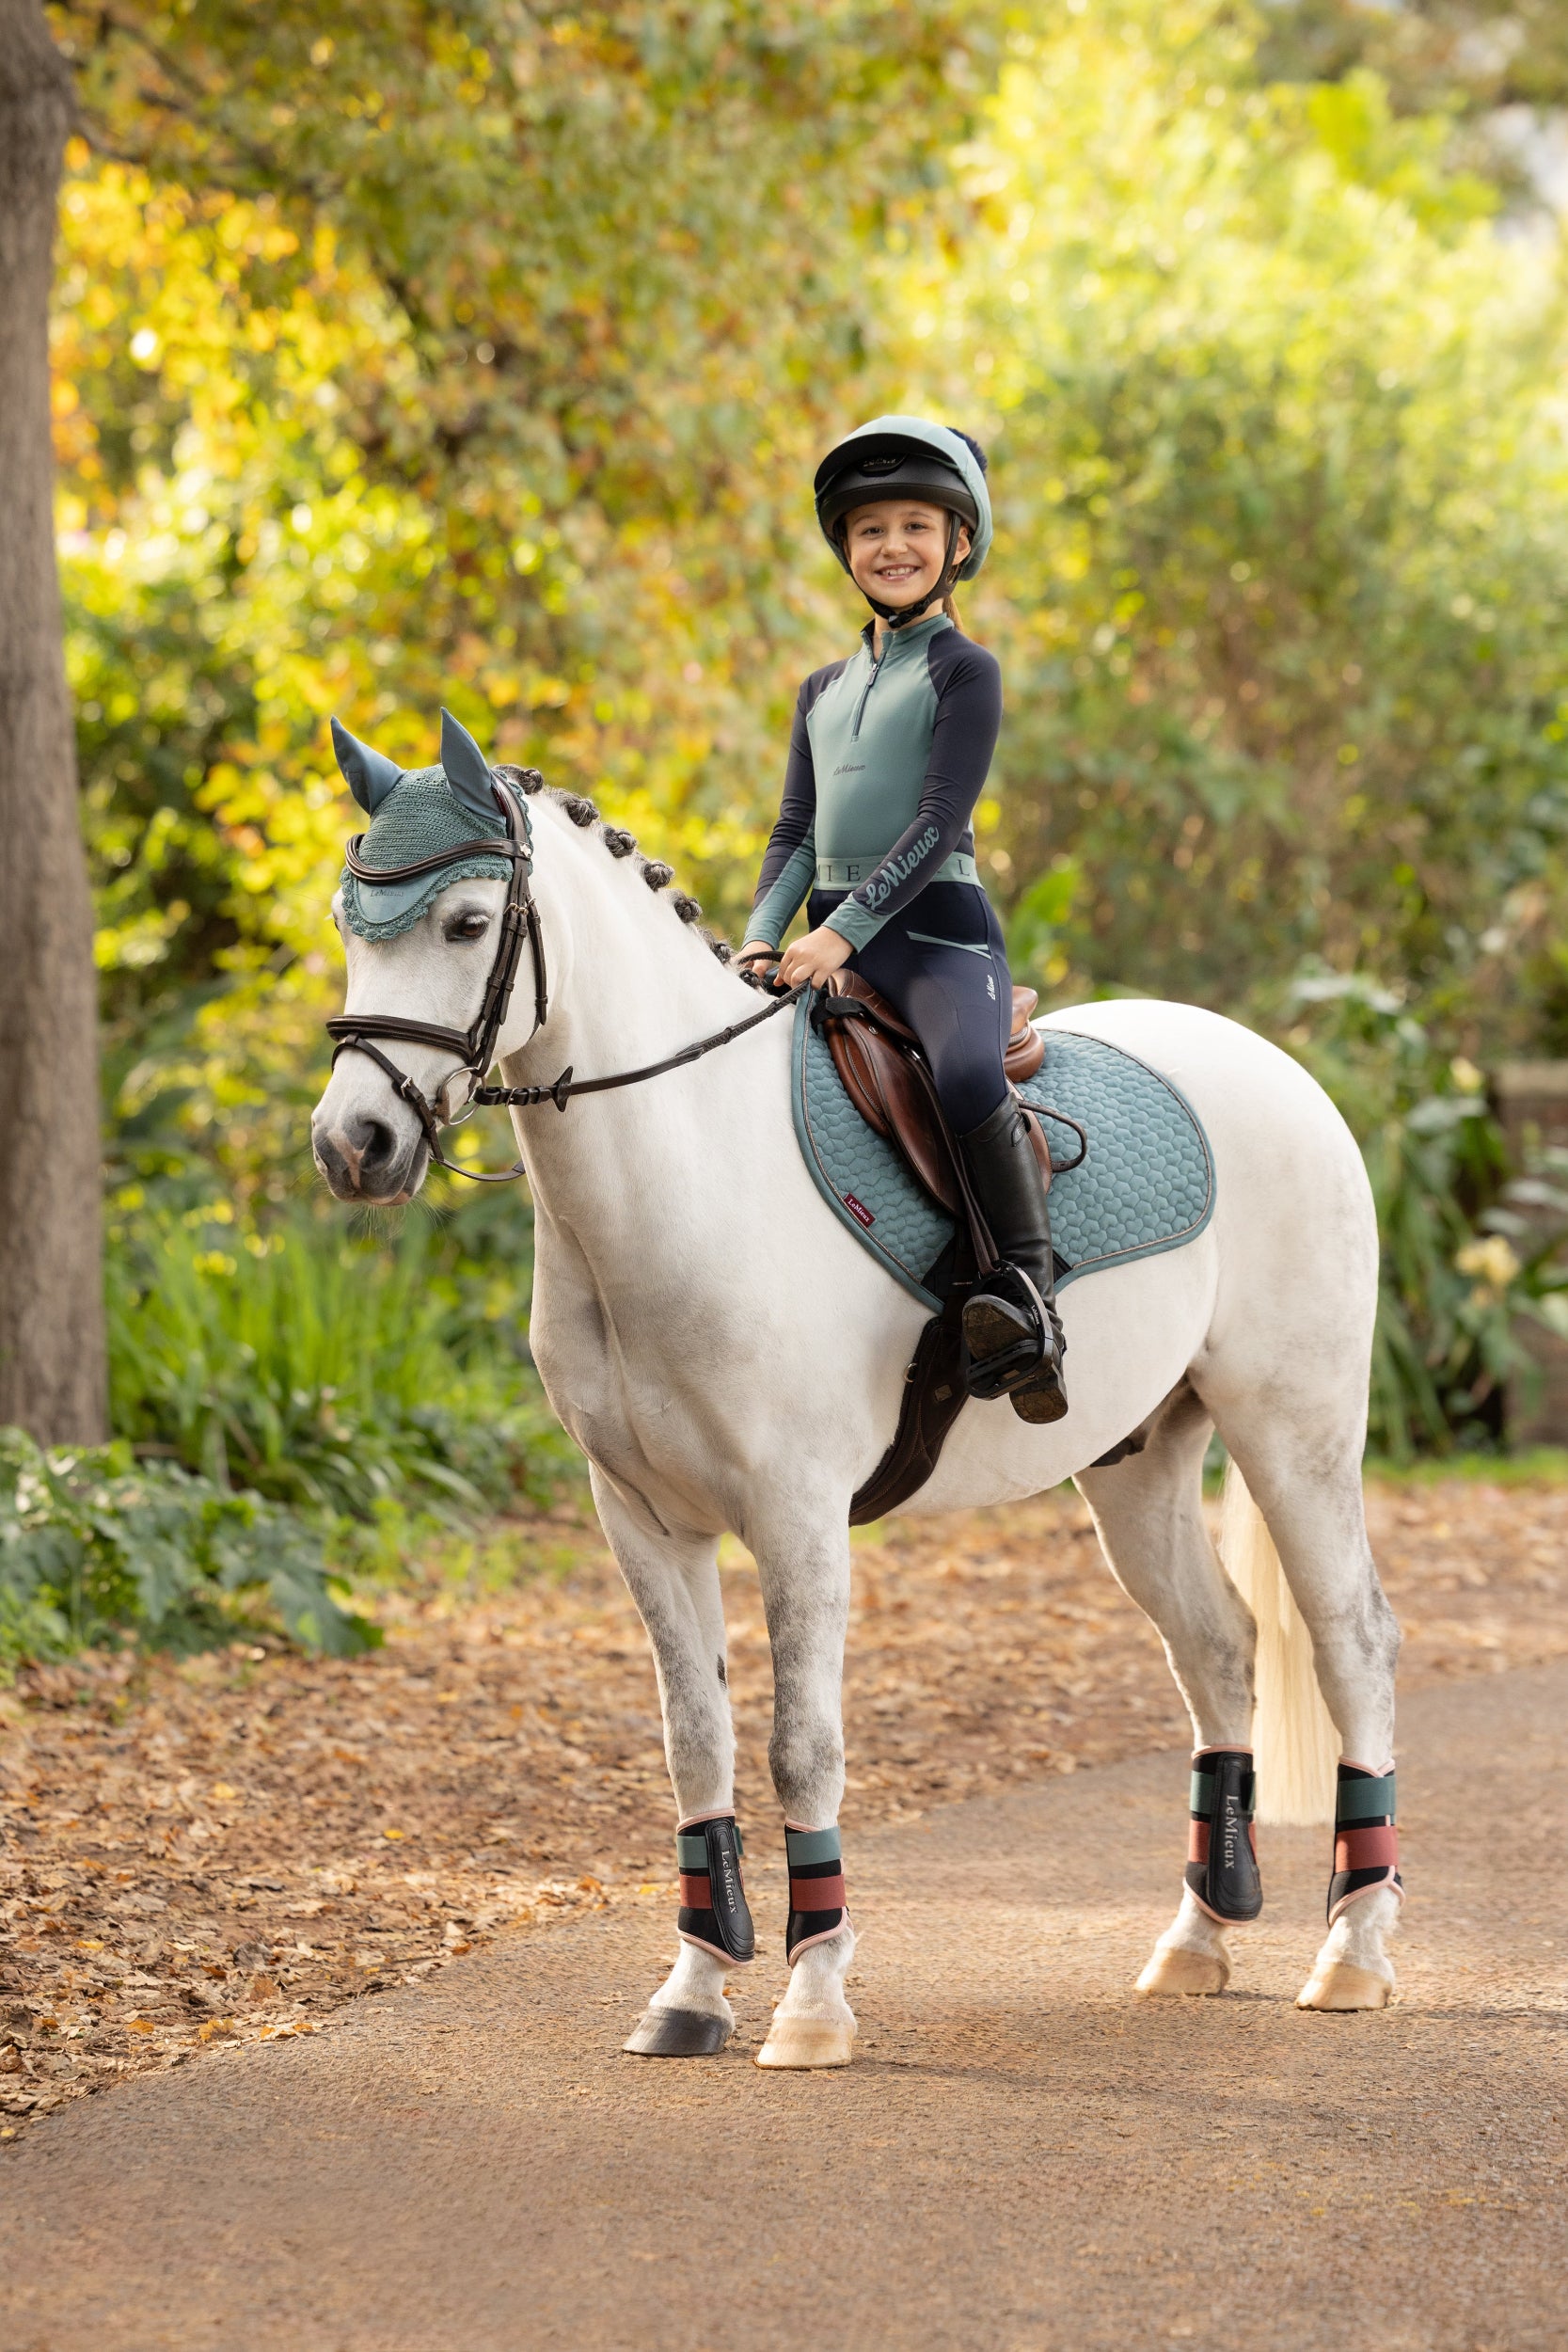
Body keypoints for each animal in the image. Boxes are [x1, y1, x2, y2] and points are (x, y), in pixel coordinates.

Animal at [311, 734, 1402, 2068]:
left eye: (467, 922)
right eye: (349, 921)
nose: (353, 1144)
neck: (693, 1170)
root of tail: (1276, 1067)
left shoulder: (798, 1519)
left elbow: (801, 1748)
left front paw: (812, 1999)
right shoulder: (640, 1520)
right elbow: (696, 1742)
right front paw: (691, 1989)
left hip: (1293, 1432)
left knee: (1351, 1644)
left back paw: (1350, 1954)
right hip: (1137, 1464)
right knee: (1217, 1648)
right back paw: (1195, 1941)